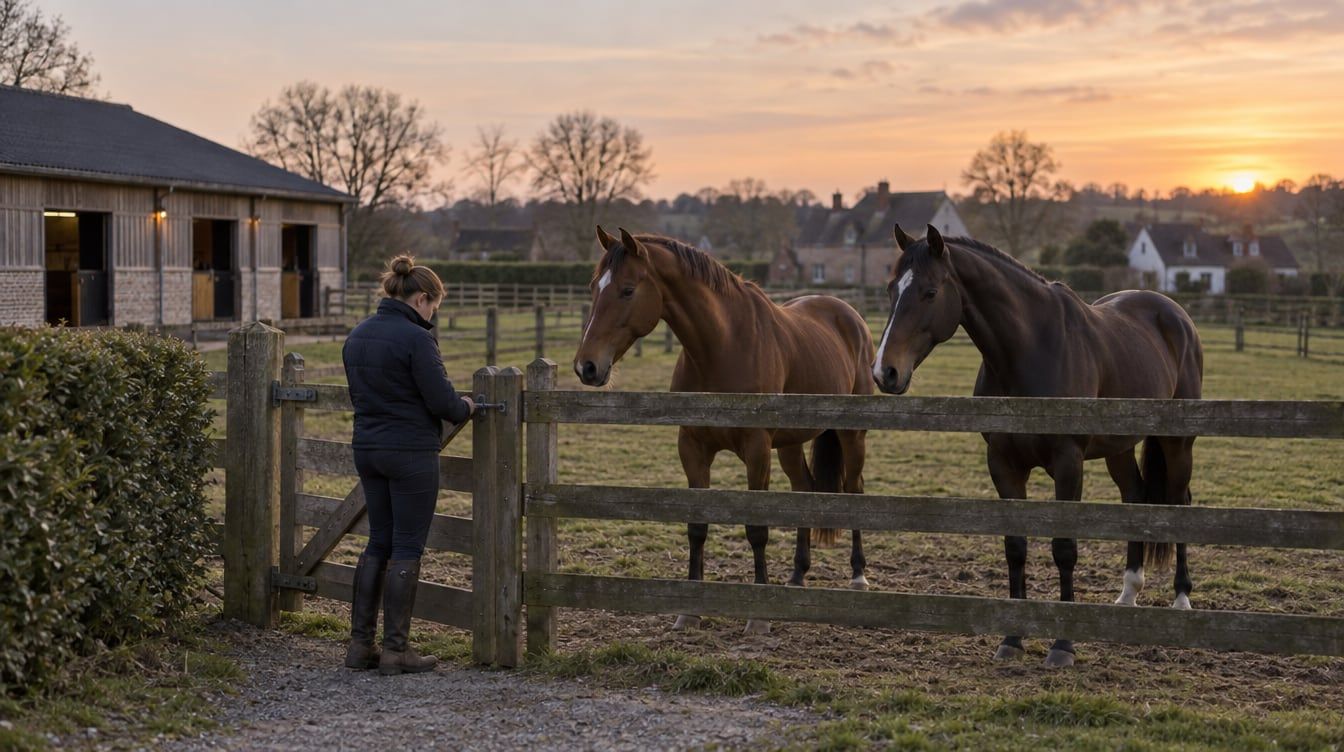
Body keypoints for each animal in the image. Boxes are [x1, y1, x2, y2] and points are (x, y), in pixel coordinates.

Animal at [574, 226, 875, 634]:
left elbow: (756, 529)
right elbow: (697, 526)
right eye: (593, 287)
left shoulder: (757, 450)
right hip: (791, 444)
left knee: (854, 490)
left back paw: (858, 575)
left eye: (627, 289)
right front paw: (689, 611)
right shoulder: (692, 448)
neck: (722, 346)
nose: (586, 366)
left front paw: (758, 616)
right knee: (805, 489)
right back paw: (797, 577)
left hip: (851, 434)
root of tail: (848, 314)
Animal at [871, 224, 1204, 668]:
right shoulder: (1003, 463)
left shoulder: (1068, 463)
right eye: (892, 288)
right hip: (1118, 447)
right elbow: (1015, 547)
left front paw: (1063, 646)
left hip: (1177, 442)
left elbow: (1064, 548)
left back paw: (1182, 598)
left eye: (929, 292)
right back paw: (1128, 593)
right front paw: (1012, 639)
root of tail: (1173, 313)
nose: (885, 371)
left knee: (1180, 502)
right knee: (1135, 497)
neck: (1030, 349)